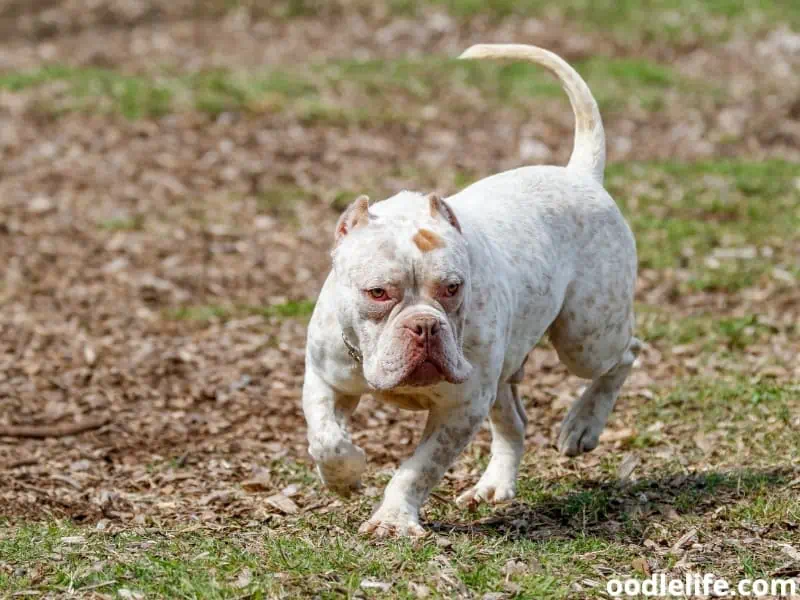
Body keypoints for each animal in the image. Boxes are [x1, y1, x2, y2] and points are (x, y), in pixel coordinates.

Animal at [304, 44, 640, 536]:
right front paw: (345, 476)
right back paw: (494, 485)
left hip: (585, 338)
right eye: (378, 293)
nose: (425, 326)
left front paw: (393, 519)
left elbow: (418, 468)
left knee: (625, 354)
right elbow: (326, 438)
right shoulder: (325, 379)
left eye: (452, 287)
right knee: (515, 421)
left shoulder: (460, 409)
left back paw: (582, 426)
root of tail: (580, 175)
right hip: (509, 372)